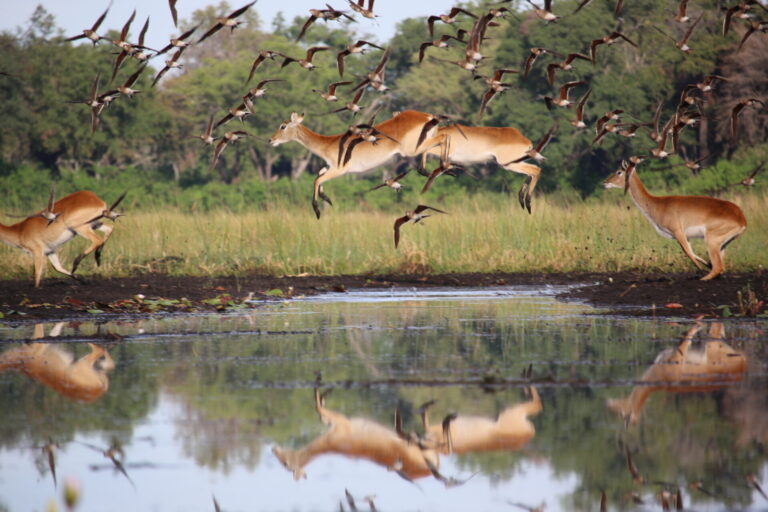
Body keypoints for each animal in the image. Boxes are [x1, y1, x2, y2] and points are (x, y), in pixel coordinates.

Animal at [269, 110, 443, 219]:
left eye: (283, 126)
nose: (271, 140)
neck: (328, 144)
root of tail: (427, 116)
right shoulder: (329, 167)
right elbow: (319, 175)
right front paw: (327, 198)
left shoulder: (339, 170)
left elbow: (317, 180)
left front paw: (318, 210)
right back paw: (428, 171)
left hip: (412, 149)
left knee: (442, 139)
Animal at [603, 162, 747, 280]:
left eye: (619, 171)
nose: (605, 182)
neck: (657, 205)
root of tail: (741, 219)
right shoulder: (684, 236)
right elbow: (690, 251)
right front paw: (706, 265)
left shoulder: (678, 232)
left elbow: (687, 252)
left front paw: (700, 269)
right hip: (723, 244)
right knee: (720, 267)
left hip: (711, 240)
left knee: (719, 267)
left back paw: (703, 277)